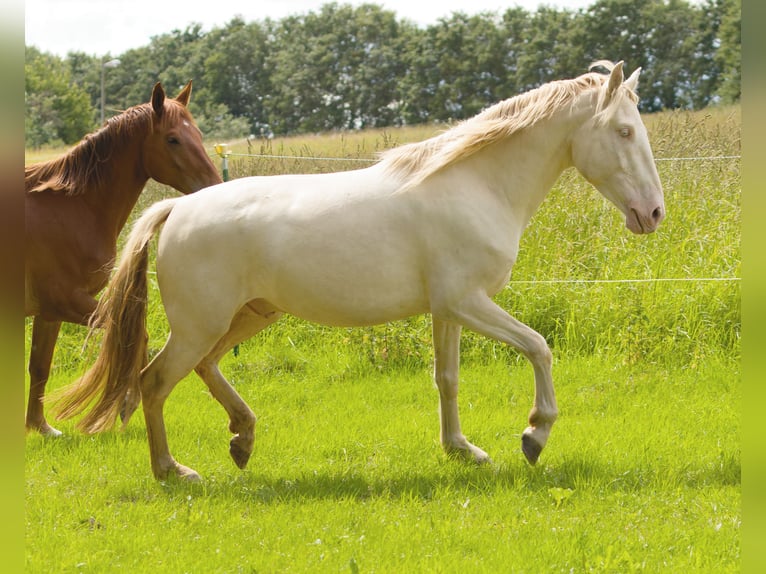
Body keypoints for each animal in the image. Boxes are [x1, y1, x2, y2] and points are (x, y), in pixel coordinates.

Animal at [24, 81, 222, 438]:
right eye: (172, 139)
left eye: (198, 135)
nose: (215, 188)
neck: (72, 207)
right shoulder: (68, 302)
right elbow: (135, 338)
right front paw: (126, 404)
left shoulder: (49, 312)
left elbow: (40, 367)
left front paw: (40, 427)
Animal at [55, 62, 664, 482]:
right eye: (625, 132)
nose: (653, 213)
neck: (476, 184)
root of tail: (175, 209)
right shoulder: (469, 302)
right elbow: (539, 346)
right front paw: (534, 434)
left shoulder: (448, 309)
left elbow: (447, 379)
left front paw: (462, 450)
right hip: (202, 324)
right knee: (153, 381)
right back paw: (173, 471)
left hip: (247, 316)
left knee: (201, 369)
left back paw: (242, 440)